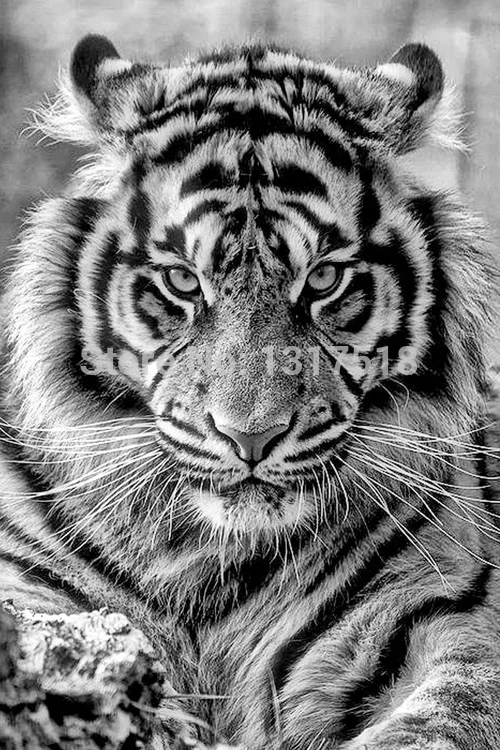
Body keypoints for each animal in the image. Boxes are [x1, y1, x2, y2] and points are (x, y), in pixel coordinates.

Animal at [1, 31, 500, 750]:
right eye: (183, 281)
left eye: (323, 281)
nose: (251, 437)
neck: (209, 561)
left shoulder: (445, 620)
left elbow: (436, 722)